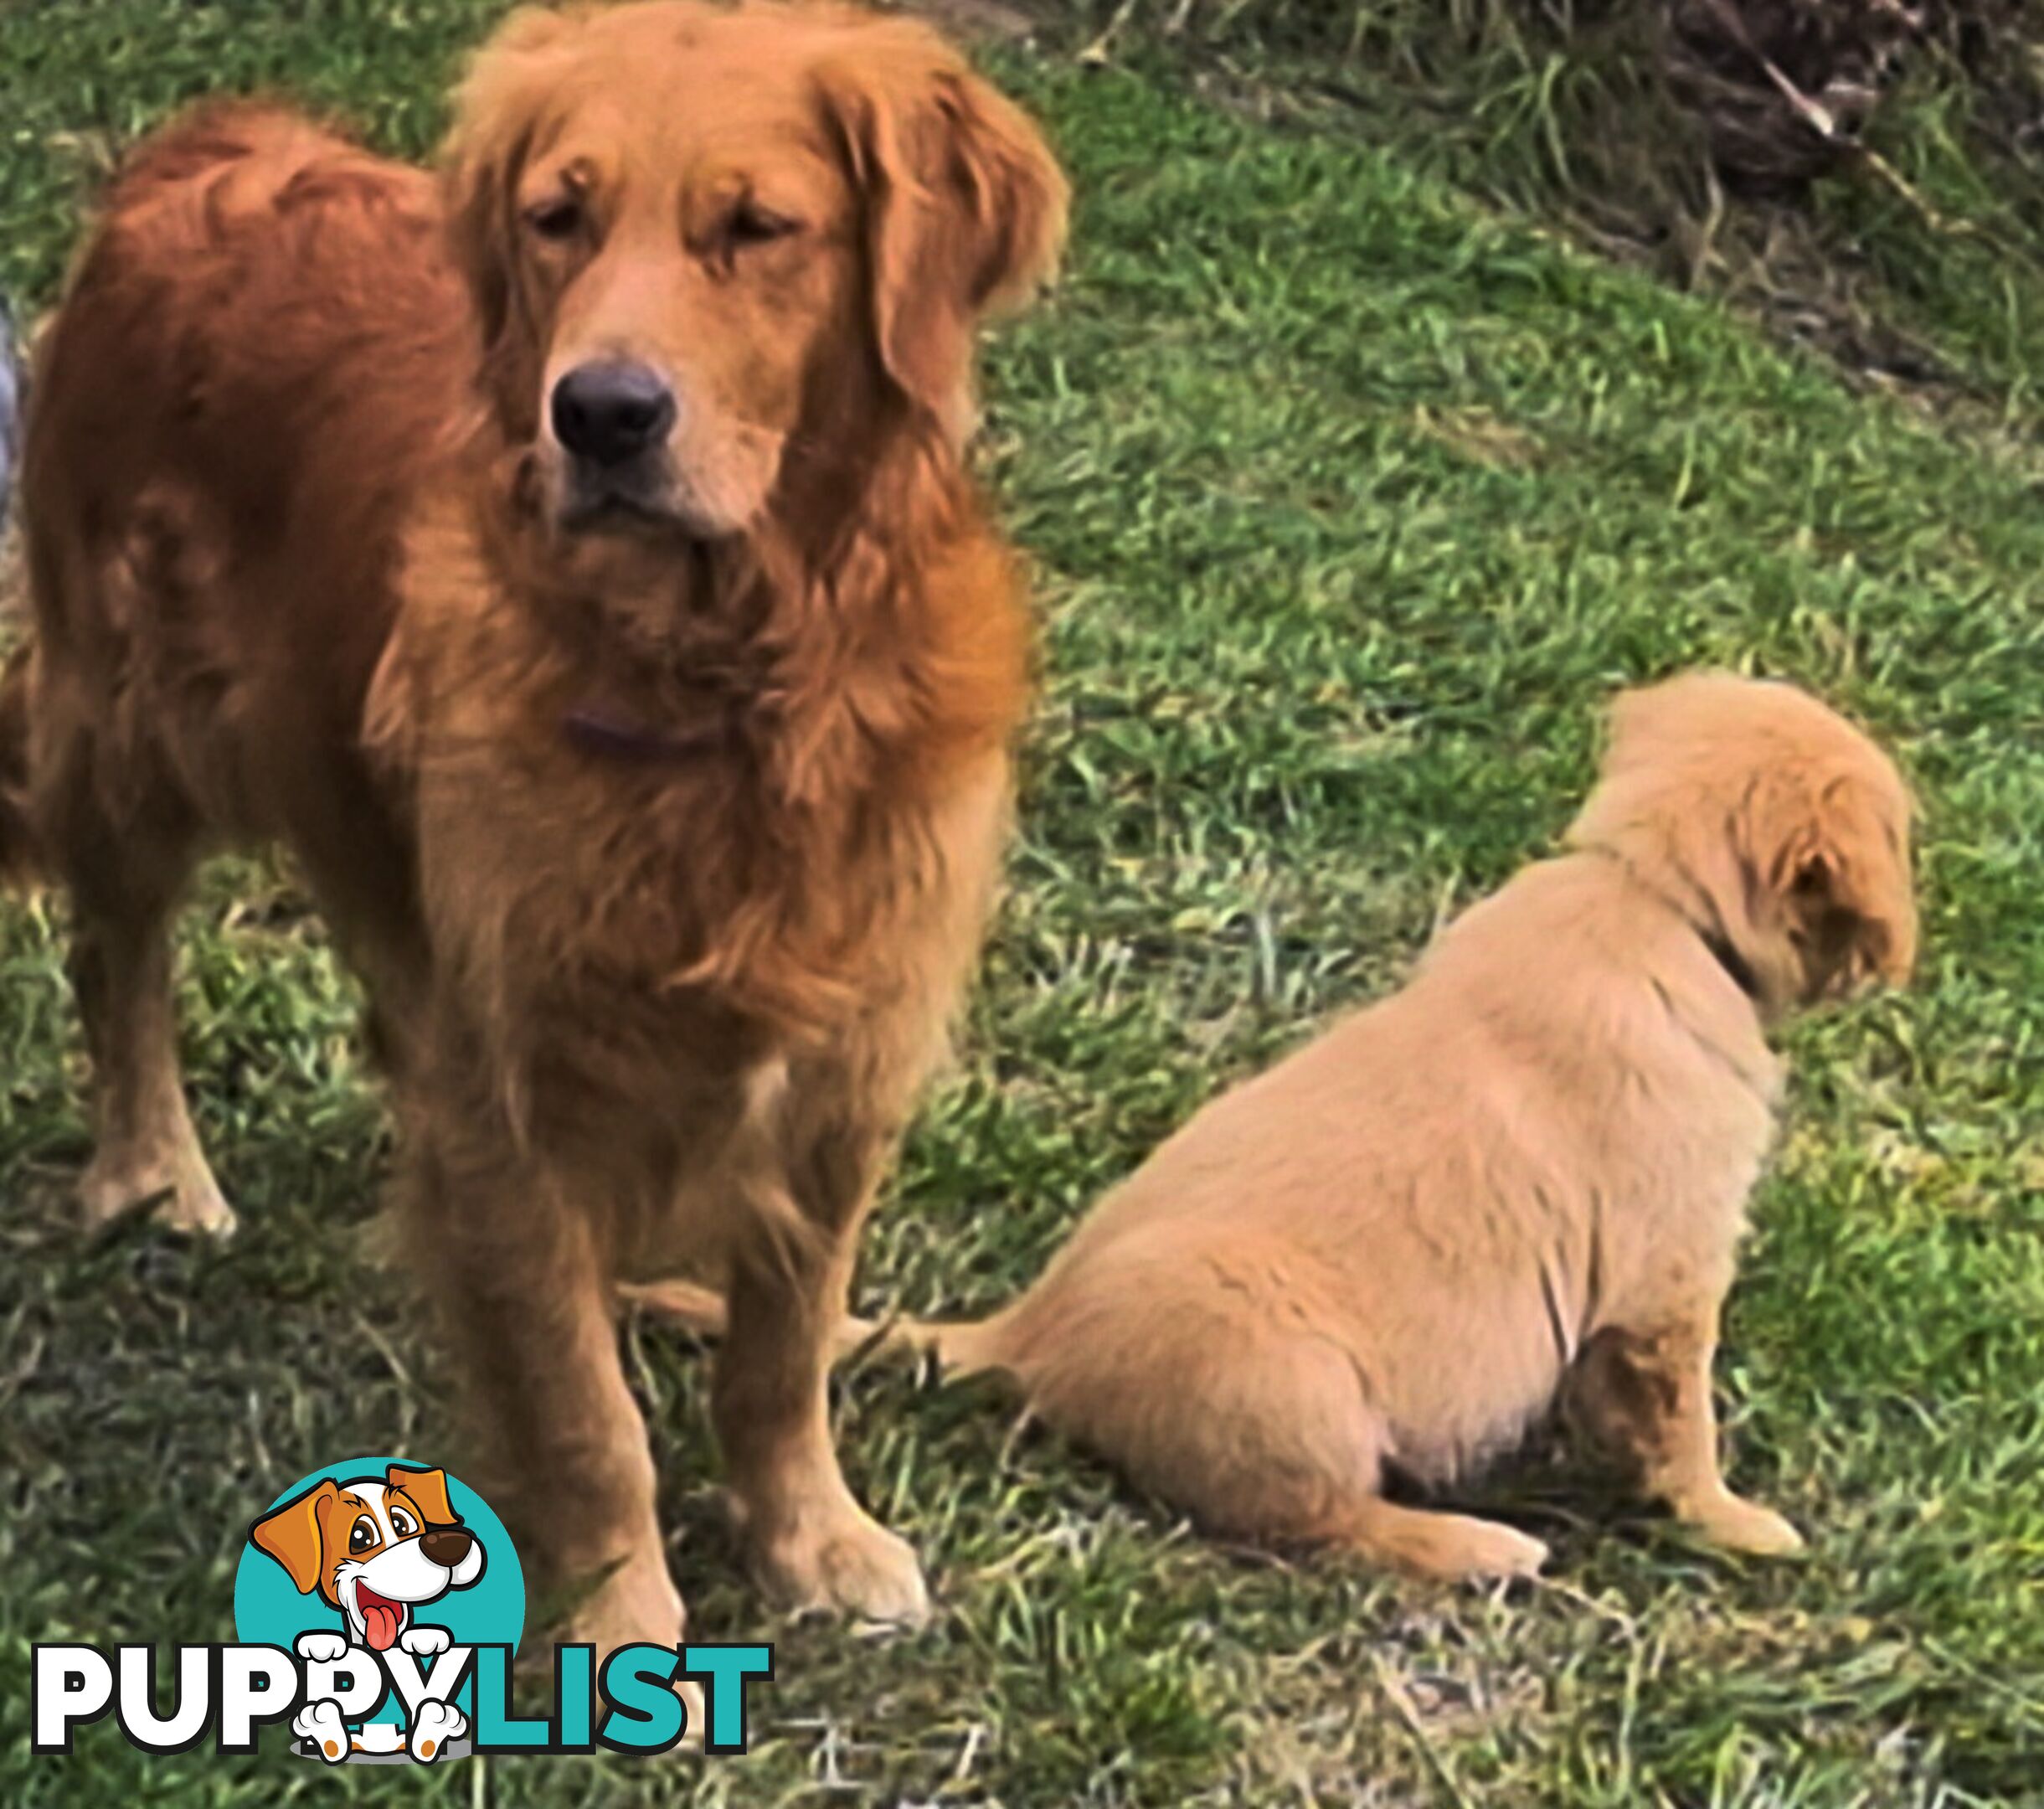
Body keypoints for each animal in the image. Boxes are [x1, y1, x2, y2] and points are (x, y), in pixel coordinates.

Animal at [8, 0, 1071, 1659]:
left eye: (757, 228)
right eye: (557, 220)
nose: (603, 414)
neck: (725, 678)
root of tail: (215, 146)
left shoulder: (849, 1054)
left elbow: (785, 1348)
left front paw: (810, 1537)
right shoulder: (513, 1091)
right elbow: (581, 1406)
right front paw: (619, 1615)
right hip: (129, 729)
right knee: (119, 952)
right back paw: (152, 1171)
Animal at [641, 670, 1913, 1578]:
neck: (1649, 897)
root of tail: (1025, 1331)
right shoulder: (1667, 1277)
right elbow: (1680, 1422)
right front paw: (1730, 1520)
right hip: (1296, 1388)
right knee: (1312, 1521)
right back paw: (1474, 1546)